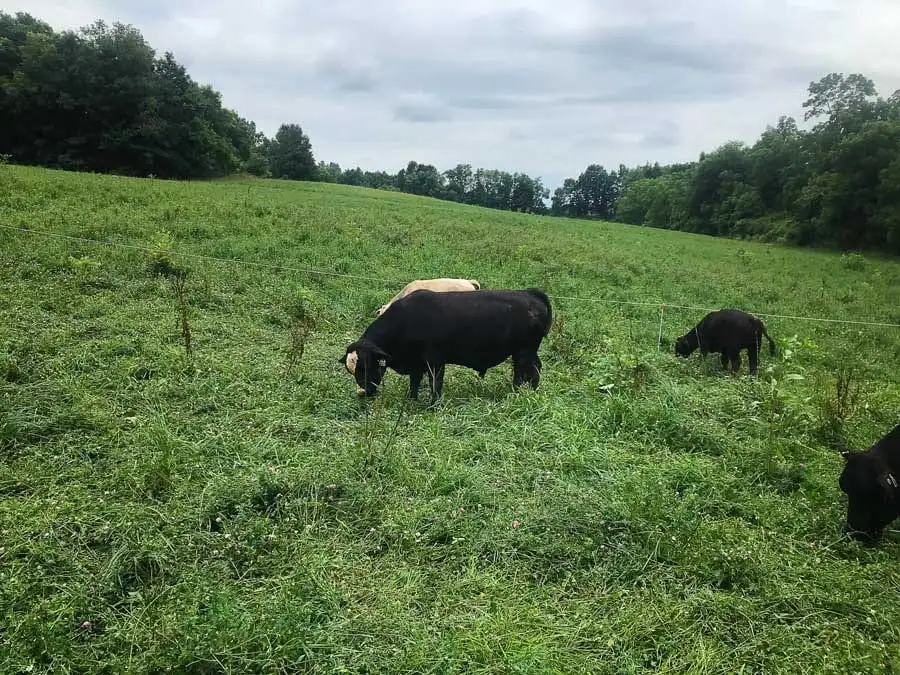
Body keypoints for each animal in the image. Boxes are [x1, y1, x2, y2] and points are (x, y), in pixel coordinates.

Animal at [340, 287, 552, 404]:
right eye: (351, 370)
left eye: (366, 366)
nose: (363, 393)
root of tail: (530, 293)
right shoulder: (417, 364)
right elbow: (414, 383)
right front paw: (411, 399)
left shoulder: (435, 363)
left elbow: (435, 385)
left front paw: (433, 405)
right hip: (526, 352)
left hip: (523, 353)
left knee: (525, 372)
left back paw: (518, 392)